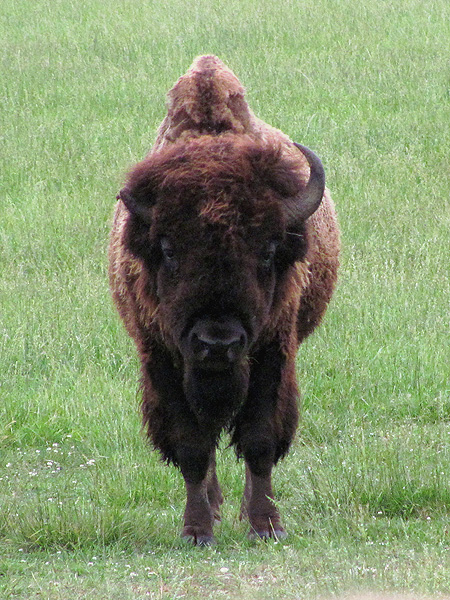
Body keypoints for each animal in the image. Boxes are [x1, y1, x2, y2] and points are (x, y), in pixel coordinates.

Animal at [109, 55, 340, 544]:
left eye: (269, 249)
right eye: (168, 249)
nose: (217, 343)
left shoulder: (273, 353)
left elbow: (259, 441)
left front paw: (266, 526)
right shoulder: (162, 359)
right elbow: (193, 446)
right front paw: (196, 530)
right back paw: (215, 509)